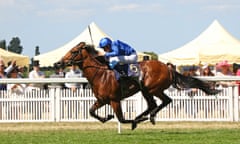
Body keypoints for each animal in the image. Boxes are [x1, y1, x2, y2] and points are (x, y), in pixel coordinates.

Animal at [57, 42, 220, 130]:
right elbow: (91, 111)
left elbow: (122, 119)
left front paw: (133, 122)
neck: (100, 74)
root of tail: (168, 67)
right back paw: (144, 116)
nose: (59, 63)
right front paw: (107, 117)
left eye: (73, 51)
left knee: (164, 101)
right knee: (153, 104)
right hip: (146, 91)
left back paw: (148, 117)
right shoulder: (102, 100)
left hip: (152, 88)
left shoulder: (114, 100)